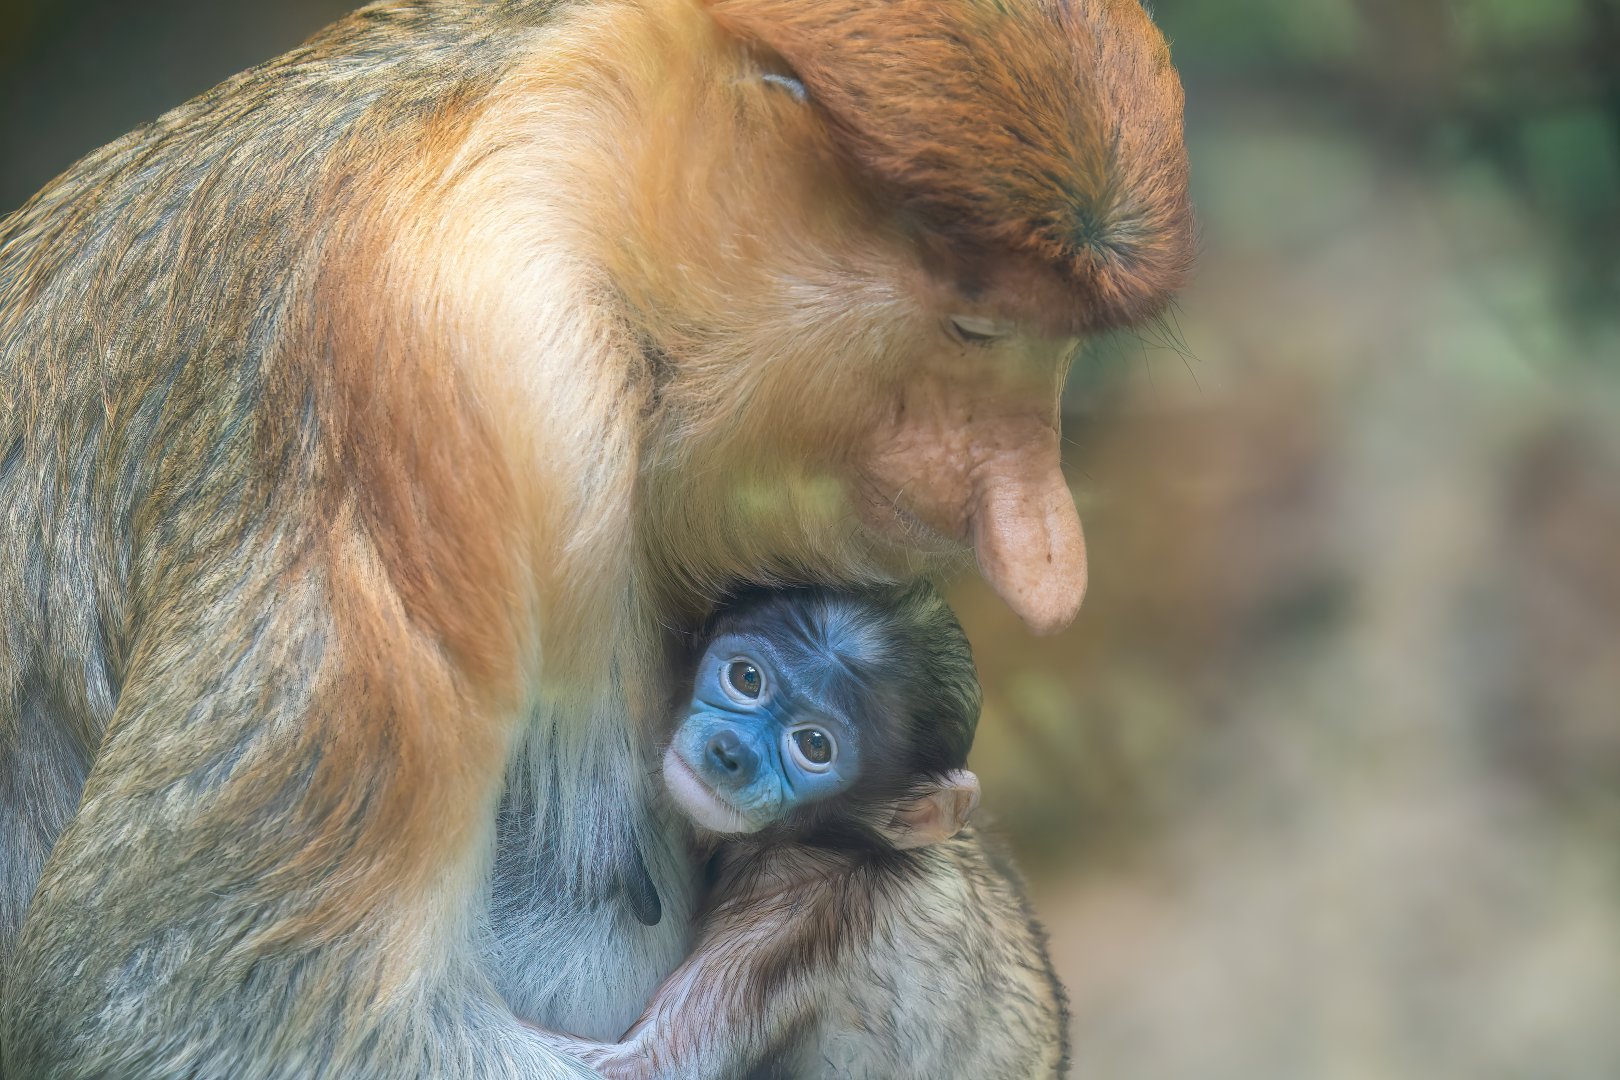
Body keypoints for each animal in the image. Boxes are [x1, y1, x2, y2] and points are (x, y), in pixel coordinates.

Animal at [548, 583, 1069, 1079]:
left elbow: (645, 1065)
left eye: (815, 745)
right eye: (746, 678)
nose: (730, 752)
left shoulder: (800, 920)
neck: (832, 844)